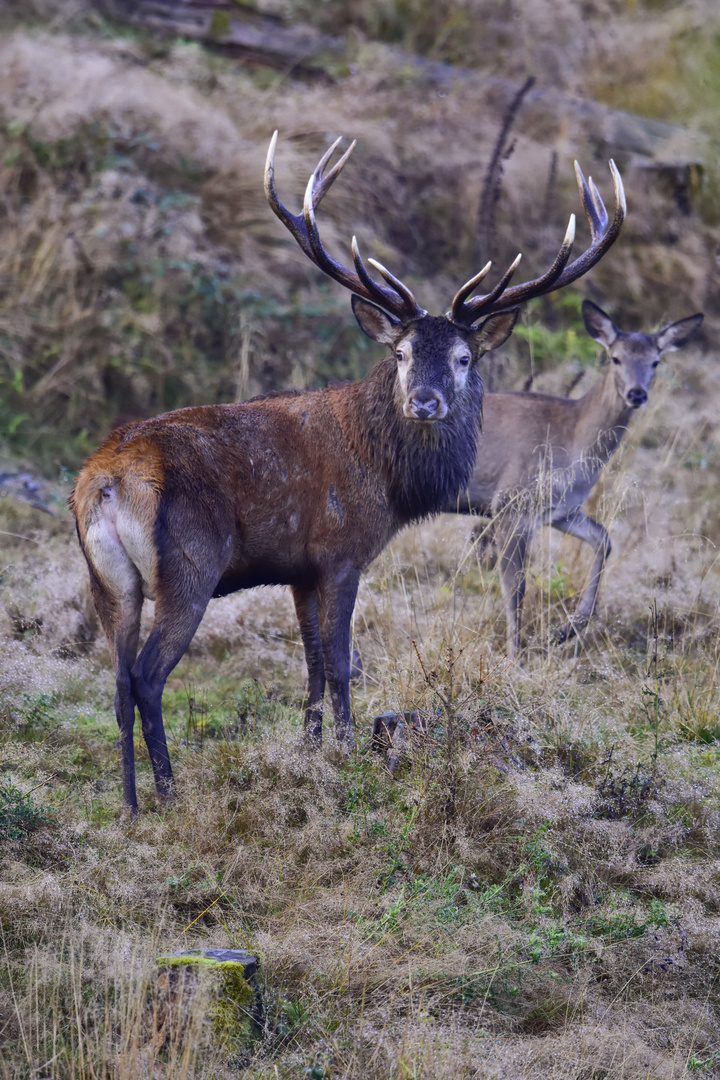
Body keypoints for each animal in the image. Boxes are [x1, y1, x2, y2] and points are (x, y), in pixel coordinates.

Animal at [71, 132, 626, 812]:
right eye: (401, 352)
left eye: (464, 357)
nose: (425, 401)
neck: (388, 483)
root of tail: (104, 483)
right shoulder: (341, 552)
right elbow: (339, 661)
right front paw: (350, 752)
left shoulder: (298, 569)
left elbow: (310, 662)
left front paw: (311, 750)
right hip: (189, 567)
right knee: (148, 677)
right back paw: (170, 794)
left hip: (108, 581)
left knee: (117, 680)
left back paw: (128, 804)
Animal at [453, 300, 699, 660]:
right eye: (616, 357)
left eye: (655, 361)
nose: (637, 393)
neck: (572, 440)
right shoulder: (510, 500)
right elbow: (515, 586)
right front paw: (515, 658)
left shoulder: (562, 511)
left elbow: (604, 539)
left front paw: (564, 630)